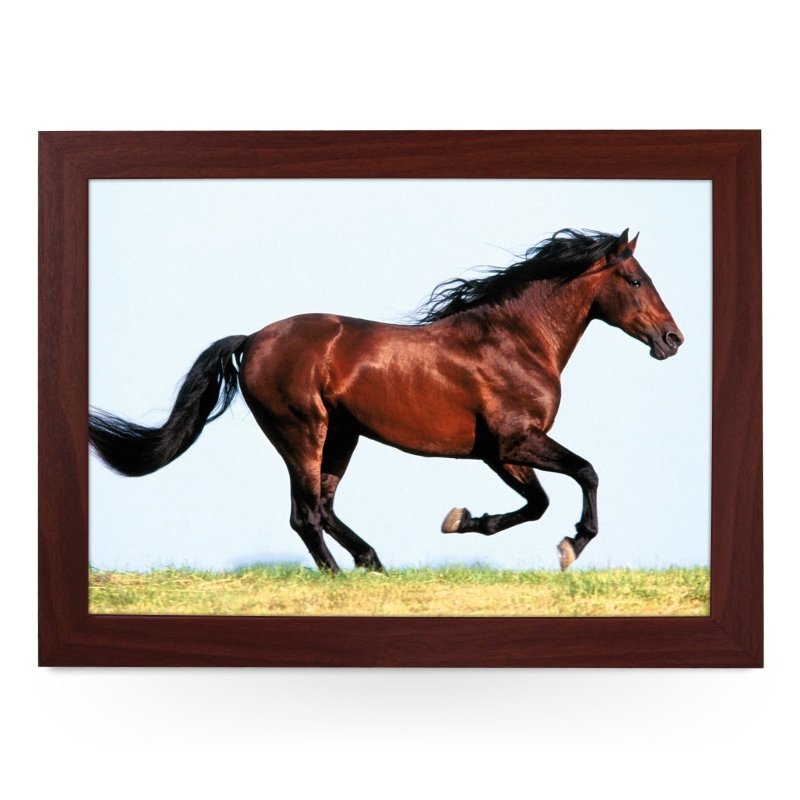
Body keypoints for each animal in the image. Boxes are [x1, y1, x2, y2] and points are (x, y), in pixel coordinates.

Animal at [89, 228, 683, 573]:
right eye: (635, 279)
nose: (672, 339)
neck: (515, 341)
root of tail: (253, 339)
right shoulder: (516, 441)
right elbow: (585, 473)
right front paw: (571, 546)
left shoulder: (500, 453)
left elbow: (537, 503)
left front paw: (461, 520)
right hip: (302, 432)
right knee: (305, 513)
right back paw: (340, 576)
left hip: (342, 436)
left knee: (324, 507)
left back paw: (371, 562)